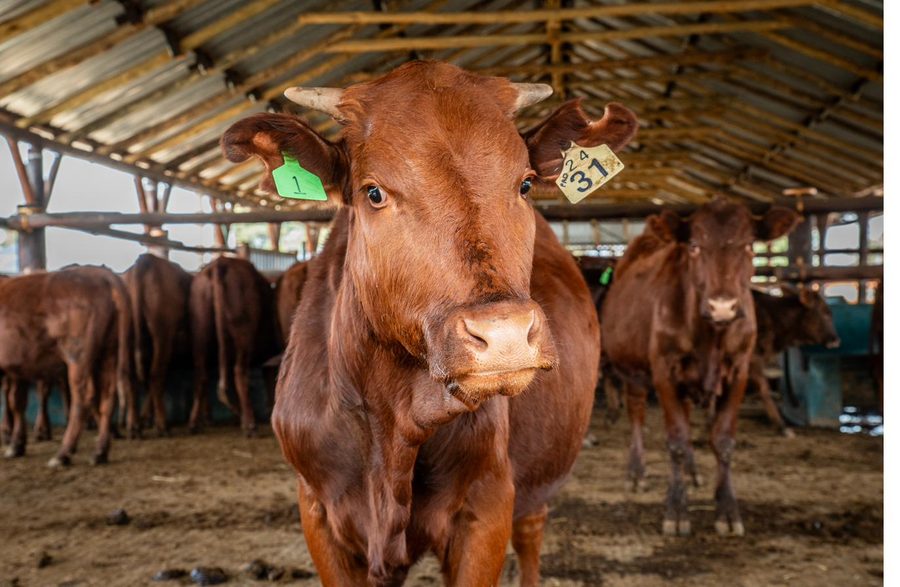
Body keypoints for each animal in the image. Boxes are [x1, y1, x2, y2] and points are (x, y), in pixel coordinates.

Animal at [0, 267, 134, 466]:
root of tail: (99, 273)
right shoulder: (18, 367)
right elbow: (17, 401)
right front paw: (17, 444)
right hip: (109, 353)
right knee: (107, 398)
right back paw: (99, 452)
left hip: (77, 354)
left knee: (82, 398)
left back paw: (63, 453)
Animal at [124, 254, 192, 435]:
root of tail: (147, 259)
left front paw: (146, 418)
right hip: (163, 336)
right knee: (156, 376)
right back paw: (162, 425)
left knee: (132, 378)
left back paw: (134, 425)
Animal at [188, 256, 279, 435]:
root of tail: (221, 262)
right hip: (243, 335)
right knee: (239, 373)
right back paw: (250, 424)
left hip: (201, 332)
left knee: (201, 374)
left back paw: (194, 423)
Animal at [222, 60, 637, 586]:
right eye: (374, 193)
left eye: (524, 184)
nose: (504, 333)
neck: (393, 425)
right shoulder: (317, 512)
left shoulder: (487, 506)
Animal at [601, 198, 799, 536]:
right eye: (694, 246)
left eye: (749, 245)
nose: (723, 306)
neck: (711, 337)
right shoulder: (664, 371)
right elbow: (677, 441)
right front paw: (676, 510)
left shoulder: (739, 372)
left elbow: (723, 441)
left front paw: (727, 509)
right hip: (633, 371)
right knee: (637, 415)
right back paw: (636, 472)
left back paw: (693, 472)